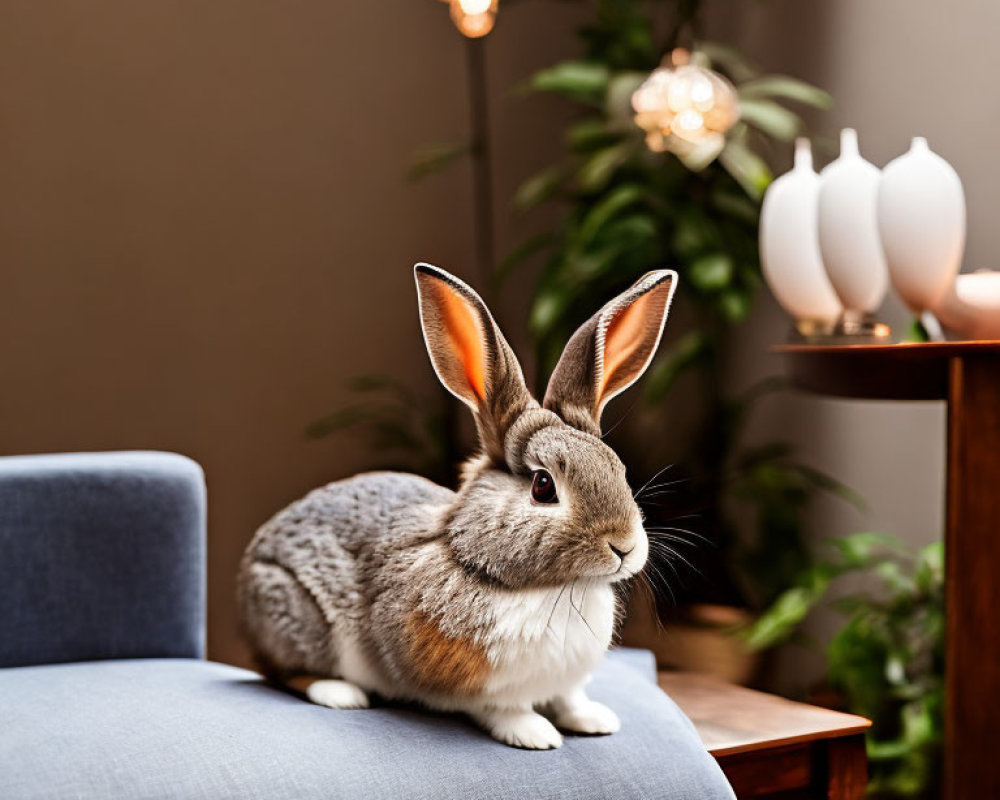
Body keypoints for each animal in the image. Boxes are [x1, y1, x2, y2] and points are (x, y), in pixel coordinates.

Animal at [240, 264, 680, 752]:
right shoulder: (471, 683)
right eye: (543, 486)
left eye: (619, 468)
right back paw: (340, 693)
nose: (624, 546)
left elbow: (569, 698)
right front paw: (535, 734)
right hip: (296, 615)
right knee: (285, 671)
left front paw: (595, 720)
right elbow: (501, 707)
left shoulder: (565, 682)